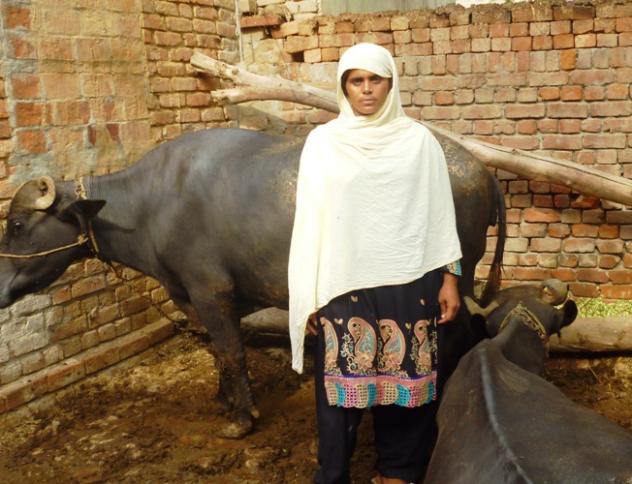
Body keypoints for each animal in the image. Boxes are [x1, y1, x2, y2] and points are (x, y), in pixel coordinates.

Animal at [0, 127, 505, 438]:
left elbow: (231, 350)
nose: (2, 287)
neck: (150, 205)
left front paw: (240, 416)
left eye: (19, 224)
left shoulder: (211, 292)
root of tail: (480, 171)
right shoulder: (193, 298)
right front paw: (225, 399)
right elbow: (219, 351)